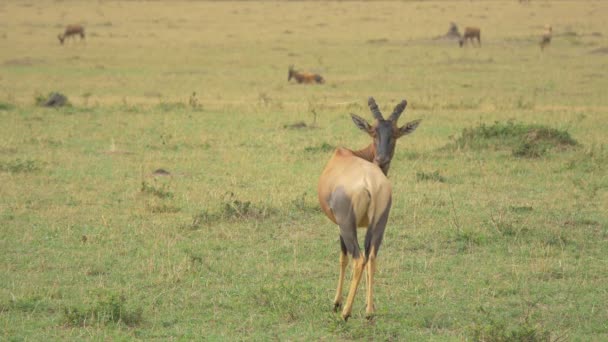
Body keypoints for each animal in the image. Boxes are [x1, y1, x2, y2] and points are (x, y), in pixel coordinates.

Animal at [316, 97, 420, 320]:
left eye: (395, 133)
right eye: (373, 132)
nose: (381, 160)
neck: (347, 154)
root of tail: (371, 183)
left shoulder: (341, 225)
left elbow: (343, 258)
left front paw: (336, 303)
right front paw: (366, 305)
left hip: (347, 225)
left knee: (358, 259)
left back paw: (345, 313)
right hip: (380, 223)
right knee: (371, 257)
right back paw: (370, 313)